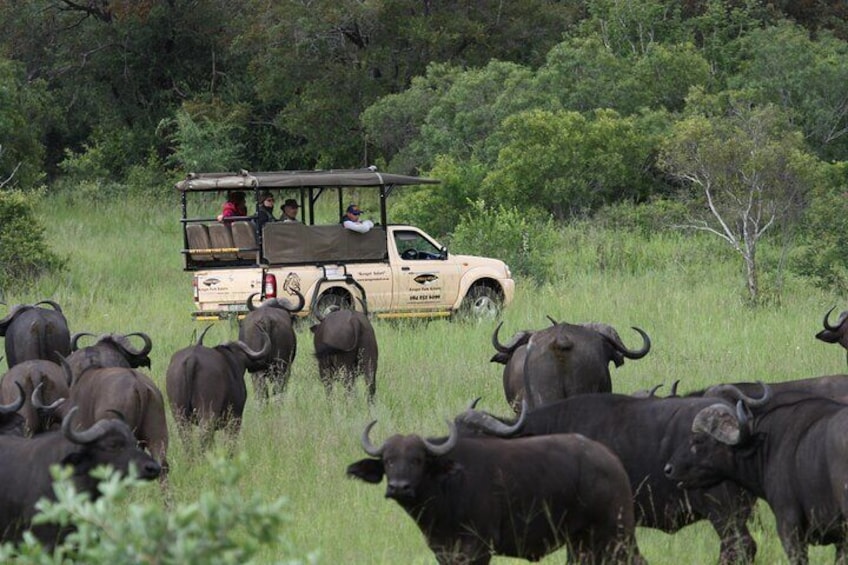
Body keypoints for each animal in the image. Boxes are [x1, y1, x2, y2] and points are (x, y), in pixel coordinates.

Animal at [344, 418, 644, 564]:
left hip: (617, 534)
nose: (399, 487)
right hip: (581, 542)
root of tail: (611, 461)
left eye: (418, 459)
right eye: (388, 460)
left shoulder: (477, 549)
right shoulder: (444, 551)